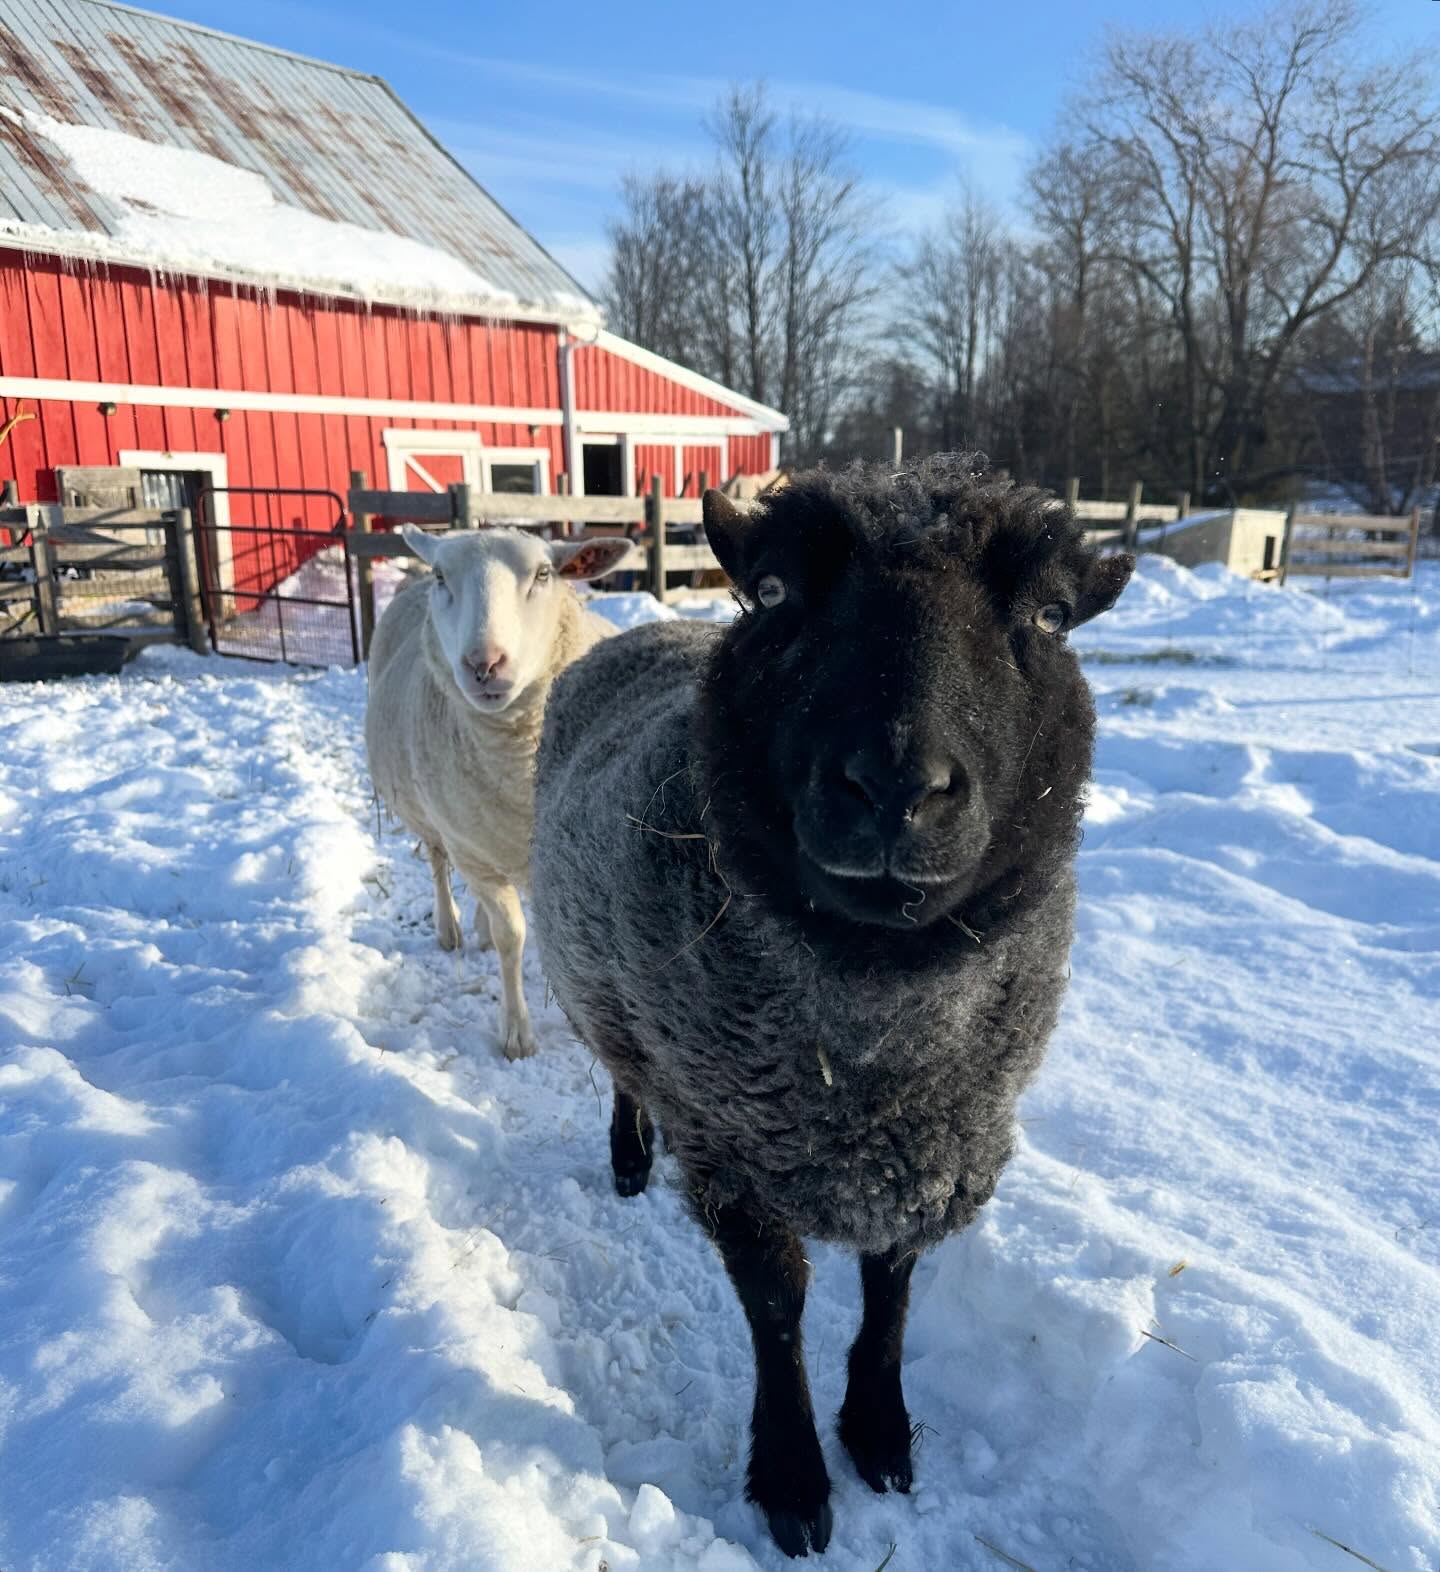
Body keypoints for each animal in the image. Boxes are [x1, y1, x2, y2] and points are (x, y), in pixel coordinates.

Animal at [366, 524, 629, 1061]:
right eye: (443, 576)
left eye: (544, 574)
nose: (483, 664)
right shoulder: (470, 847)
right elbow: (513, 939)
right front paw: (516, 1034)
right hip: (438, 821)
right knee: (439, 864)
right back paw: (450, 928)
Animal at [530, 456, 1134, 1556]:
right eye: (774, 592)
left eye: (1052, 615)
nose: (895, 786)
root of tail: (650, 626)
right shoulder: (732, 1148)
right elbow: (780, 1311)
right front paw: (794, 1480)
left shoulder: (938, 1142)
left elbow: (890, 1290)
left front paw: (881, 1433)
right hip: (601, 979)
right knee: (622, 1071)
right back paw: (630, 1159)